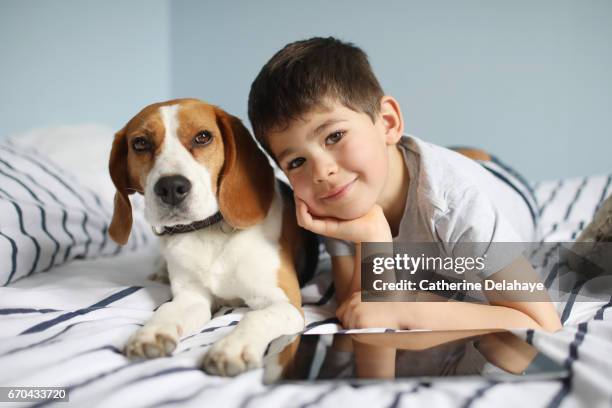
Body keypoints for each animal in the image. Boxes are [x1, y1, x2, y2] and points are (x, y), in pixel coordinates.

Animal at [108, 98, 316, 376]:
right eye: (140, 143)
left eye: (203, 137)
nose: (171, 187)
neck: (209, 233)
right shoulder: (192, 297)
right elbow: (167, 310)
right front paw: (151, 333)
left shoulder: (284, 302)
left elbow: (254, 316)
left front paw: (232, 348)